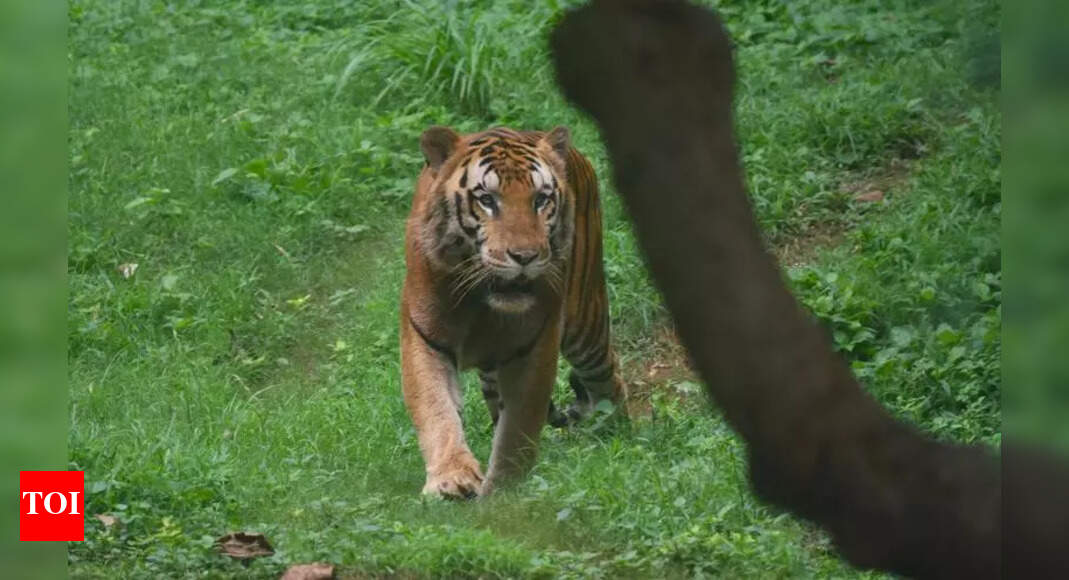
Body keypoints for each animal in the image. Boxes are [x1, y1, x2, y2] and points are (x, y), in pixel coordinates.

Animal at [400, 125, 627, 499]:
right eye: (487, 200)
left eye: (541, 199)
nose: (525, 256)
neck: (480, 302)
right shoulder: (424, 337)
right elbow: (436, 408)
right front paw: (452, 479)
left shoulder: (535, 346)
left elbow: (520, 424)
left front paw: (506, 488)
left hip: (586, 325)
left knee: (608, 377)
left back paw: (621, 437)